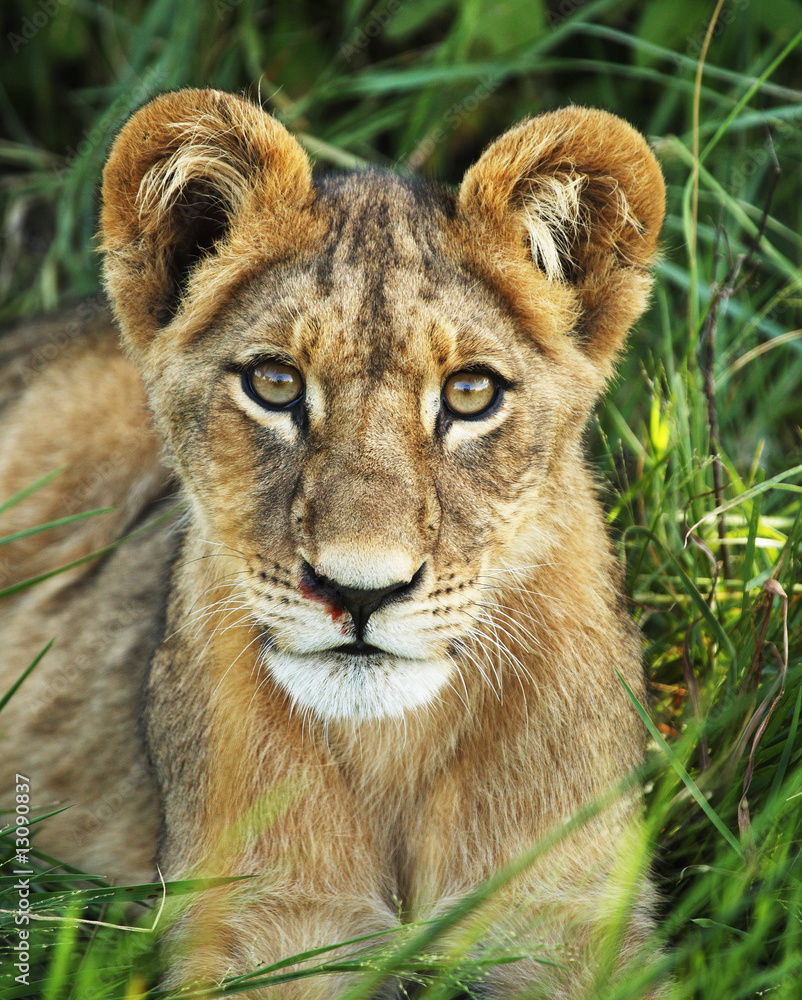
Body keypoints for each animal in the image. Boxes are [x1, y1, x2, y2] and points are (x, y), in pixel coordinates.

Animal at [0, 89, 666, 997]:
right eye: (275, 384)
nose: (360, 592)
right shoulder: (263, 929)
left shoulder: (570, 918)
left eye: (470, 393)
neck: (394, 749)